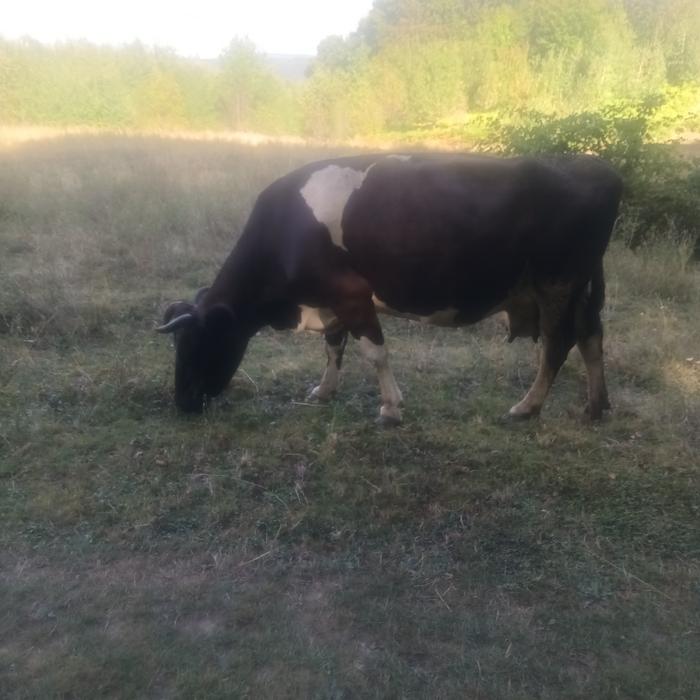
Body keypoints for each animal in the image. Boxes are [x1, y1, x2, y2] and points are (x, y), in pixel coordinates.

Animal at [157, 153, 622, 424]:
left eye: (195, 342)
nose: (182, 401)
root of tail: (597, 169)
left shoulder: (351, 294)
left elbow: (374, 352)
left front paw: (391, 408)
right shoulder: (332, 301)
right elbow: (334, 347)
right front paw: (324, 391)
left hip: (557, 282)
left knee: (558, 344)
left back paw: (527, 406)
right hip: (580, 286)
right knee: (591, 336)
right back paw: (596, 406)